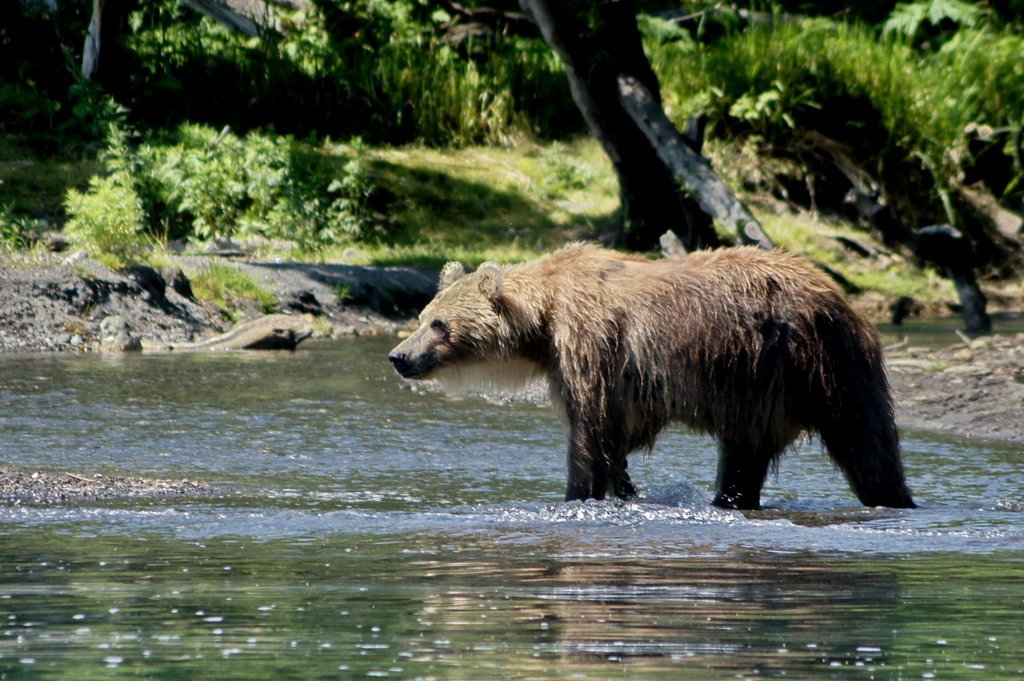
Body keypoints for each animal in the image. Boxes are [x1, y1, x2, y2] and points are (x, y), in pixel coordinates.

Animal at [387, 241, 917, 507]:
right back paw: (730, 501)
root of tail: (843, 299)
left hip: (820, 363)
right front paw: (624, 487)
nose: (398, 356)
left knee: (866, 445)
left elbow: (589, 431)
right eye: (422, 316)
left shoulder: (589, 342)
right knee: (745, 458)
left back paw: (891, 499)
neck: (543, 319)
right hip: (760, 391)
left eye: (438, 324)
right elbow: (612, 436)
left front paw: (577, 495)